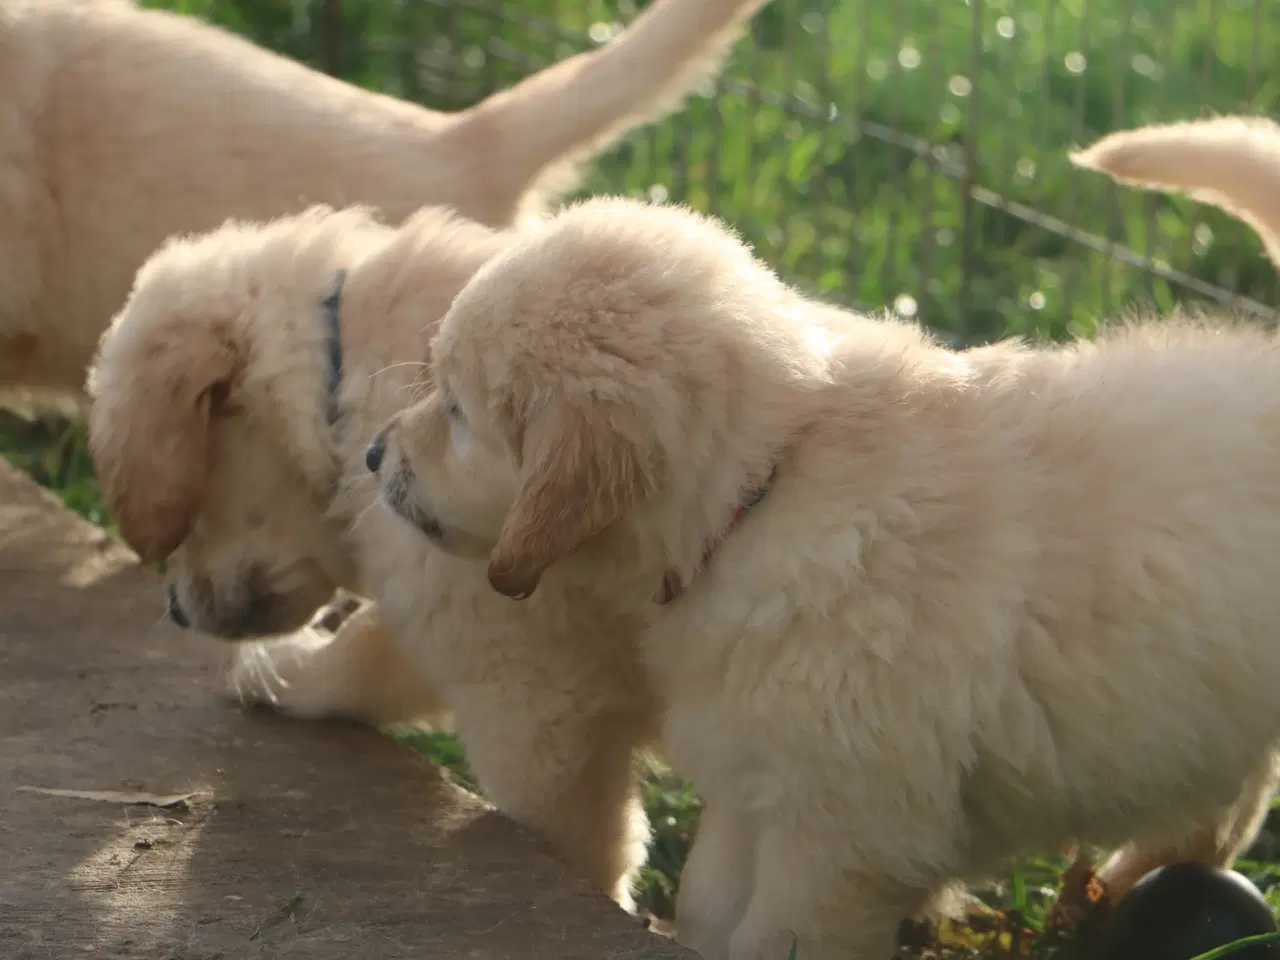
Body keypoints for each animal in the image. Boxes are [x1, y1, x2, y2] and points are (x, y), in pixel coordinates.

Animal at [87, 203, 660, 911]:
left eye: (188, 516)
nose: (173, 610)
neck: (339, 377)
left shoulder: (534, 695)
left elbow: (580, 841)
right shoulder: (454, 613)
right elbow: (364, 656)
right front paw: (280, 670)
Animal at [373, 197, 1280, 960]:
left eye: (455, 412)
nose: (375, 452)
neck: (761, 491)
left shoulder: (839, 831)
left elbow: (780, 935)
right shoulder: (754, 776)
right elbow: (711, 902)